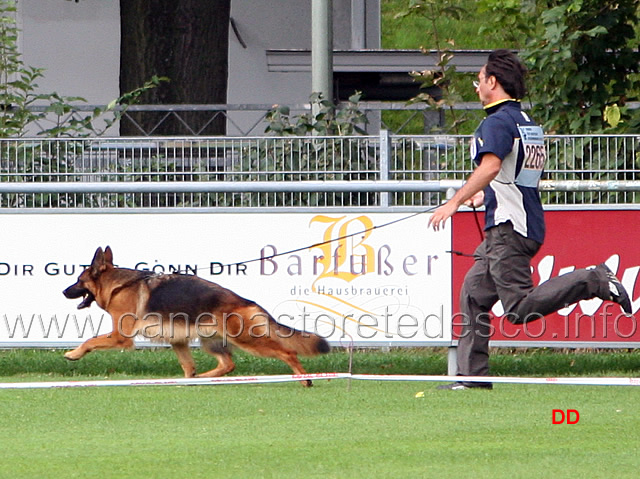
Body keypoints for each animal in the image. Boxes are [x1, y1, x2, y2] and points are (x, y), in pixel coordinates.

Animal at [62, 248, 330, 386]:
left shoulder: (120, 336)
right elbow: (187, 366)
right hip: (210, 341)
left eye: (78, 281)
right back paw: (202, 378)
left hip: (248, 340)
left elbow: (91, 340)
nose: (64, 291)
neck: (118, 285)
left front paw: (74, 354)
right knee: (227, 364)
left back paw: (305, 379)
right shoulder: (178, 340)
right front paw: (189, 378)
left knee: (288, 352)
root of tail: (246, 302)